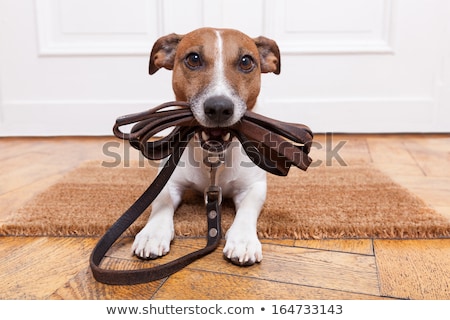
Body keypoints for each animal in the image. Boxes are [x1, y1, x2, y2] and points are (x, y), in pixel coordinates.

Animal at [130, 26, 280, 264]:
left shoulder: (253, 187)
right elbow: (161, 202)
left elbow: (247, 209)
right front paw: (152, 233)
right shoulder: (168, 181)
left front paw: (243, 240)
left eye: (246, 61)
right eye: (193, 58)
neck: (213, 156)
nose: (219, 108)